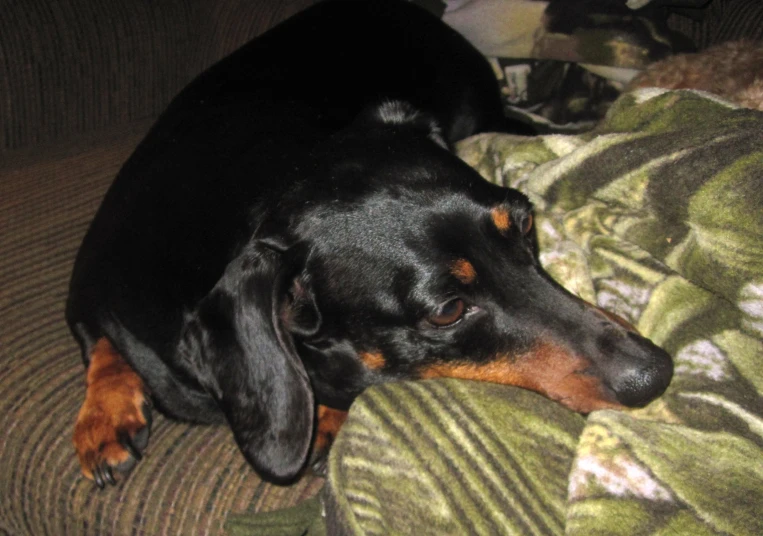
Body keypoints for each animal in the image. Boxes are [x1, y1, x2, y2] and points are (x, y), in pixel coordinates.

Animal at [68, 0, 672, 490]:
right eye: (448, 310)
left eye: (524, 224)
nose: (656, 373)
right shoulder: (88, 286)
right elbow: (99, 343)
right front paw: (104, 416)